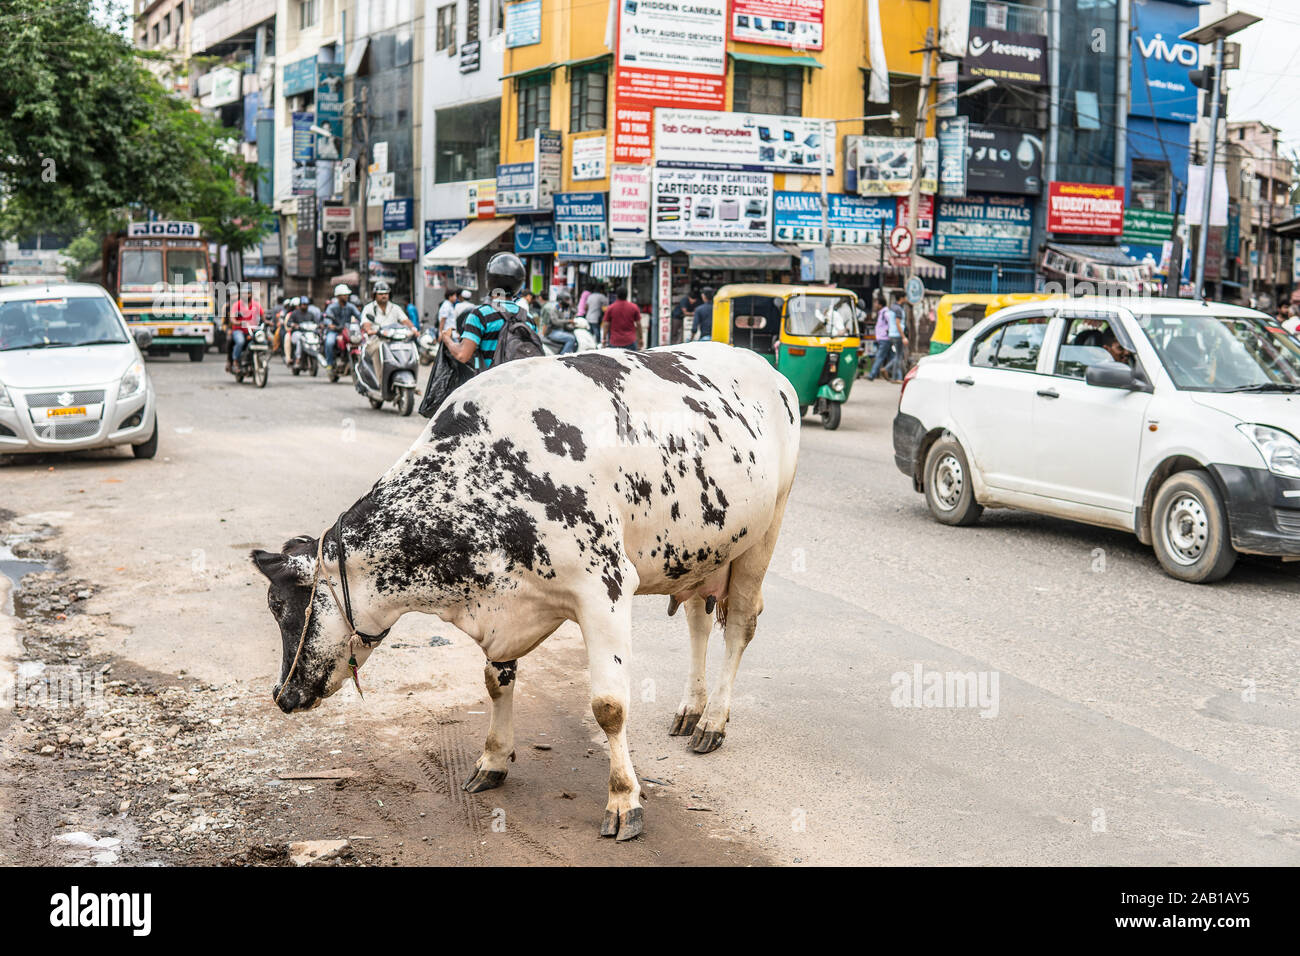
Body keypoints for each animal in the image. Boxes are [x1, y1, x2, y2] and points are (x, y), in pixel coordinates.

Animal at [252, 340, 795, 842]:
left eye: (282, 607)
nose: (283, 695)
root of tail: (764, 365)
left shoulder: (606, 588)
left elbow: (609, 706)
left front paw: (624, 798)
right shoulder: (503, 604)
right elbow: (497, 682)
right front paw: (493, 760)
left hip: (763, 536)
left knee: (739, 625)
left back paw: (712, 722)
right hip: (704, 550)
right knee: (699, 619)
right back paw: (690, 709)